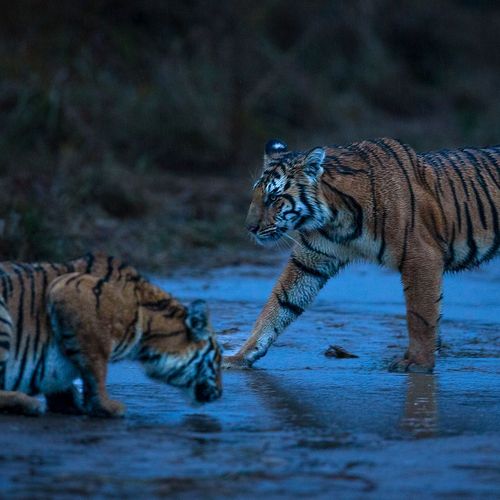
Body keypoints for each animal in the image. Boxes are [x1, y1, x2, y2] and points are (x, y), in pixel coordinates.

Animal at [0, 252, 223, 416]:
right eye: (218, 361)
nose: (221, 394)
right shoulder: (70, 290)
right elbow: (95, 368)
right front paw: (106, 407)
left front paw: (70, 402)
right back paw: (28, 403)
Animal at [224, 139, 500, 374]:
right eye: (256, 196)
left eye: (274, 198)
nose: (249, 228)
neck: (336, 217)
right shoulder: (309, 261)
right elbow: (278, 305)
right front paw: (240, 356)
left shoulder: (421, 256)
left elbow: (420, 315)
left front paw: (418, 363)